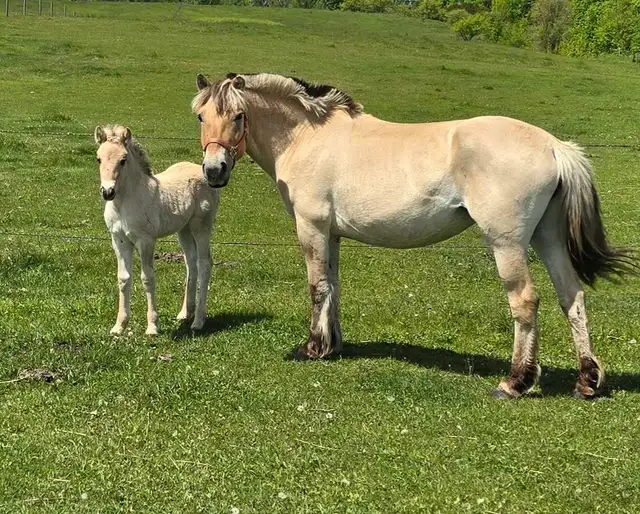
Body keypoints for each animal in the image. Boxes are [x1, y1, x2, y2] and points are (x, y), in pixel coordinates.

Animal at [94, 125, 219, 335]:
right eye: (98, 158)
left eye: (123, 160)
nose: (108, 192)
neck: (125, 203)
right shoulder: (119, 240)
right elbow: (123, 279)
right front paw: (119, 326)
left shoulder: (145, 240)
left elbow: (148, 278)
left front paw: (152, 326)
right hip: (183, 230)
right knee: (191, 263)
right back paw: (185, 313)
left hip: (201, 227)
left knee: (204, 264)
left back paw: (198, 321)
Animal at [191, 72, 637, 399]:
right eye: (201, 117)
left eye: (238, 116)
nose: (214, 171)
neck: (309, 137)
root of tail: (554, 146)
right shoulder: (331, 233)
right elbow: (334, 286)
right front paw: (334, 346)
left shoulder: (311, 226)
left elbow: (317, 287)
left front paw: (312, 349)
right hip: (547, 239)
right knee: (572, 297)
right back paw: (587, 381)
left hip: (507, 243)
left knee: (525, 301)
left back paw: (516, 382)